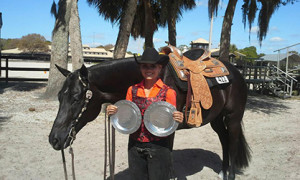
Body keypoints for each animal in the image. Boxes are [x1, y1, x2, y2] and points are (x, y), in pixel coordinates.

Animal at [48, 48, 251, 179]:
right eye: (59, 96)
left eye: (76, 98)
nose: (54, 139)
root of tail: (236, 72)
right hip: (216, 119)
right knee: (224, 140)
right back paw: (223, 171)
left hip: (233, 117)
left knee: (232, 142)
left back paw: (231, 174)